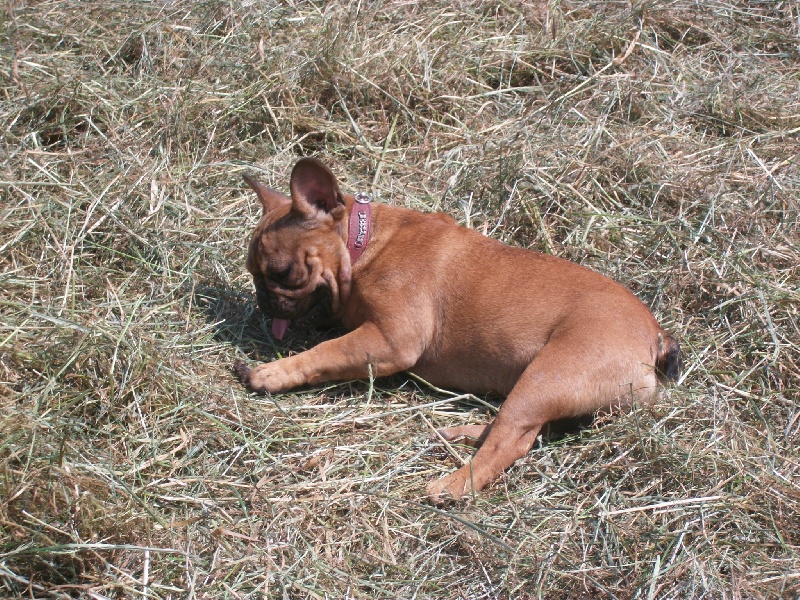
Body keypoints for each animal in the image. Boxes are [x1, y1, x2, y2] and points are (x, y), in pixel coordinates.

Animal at [234, 157, 680, 504]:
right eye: (253, 272)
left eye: (281, 272)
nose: (264, 300)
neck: (365, 243)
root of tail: (655, 336)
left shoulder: (391, 340)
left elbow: (325, 352)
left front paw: (271, 372)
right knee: (528, 430)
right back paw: (460, 433)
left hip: (549, 375)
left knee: (512, 441)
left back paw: (452, 485)